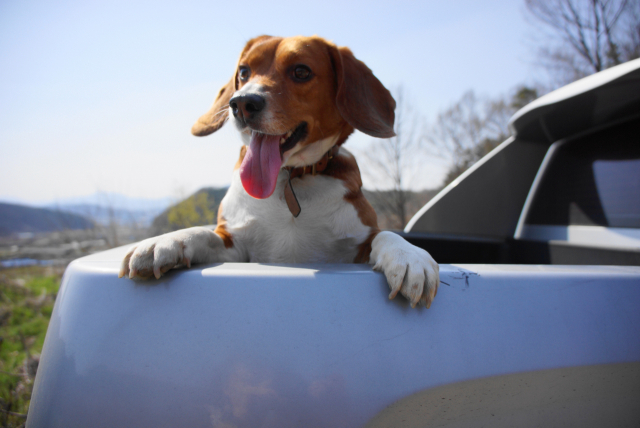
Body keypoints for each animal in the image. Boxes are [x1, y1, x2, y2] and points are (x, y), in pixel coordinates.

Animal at [119, 34, 440, 308]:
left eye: (301, 71)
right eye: (244, 71)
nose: (242, 103)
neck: (289, 178)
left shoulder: (356, 247)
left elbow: (384, 235)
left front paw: (409, 256)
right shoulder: (234, 245)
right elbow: (202, 233)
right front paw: (165, 241)